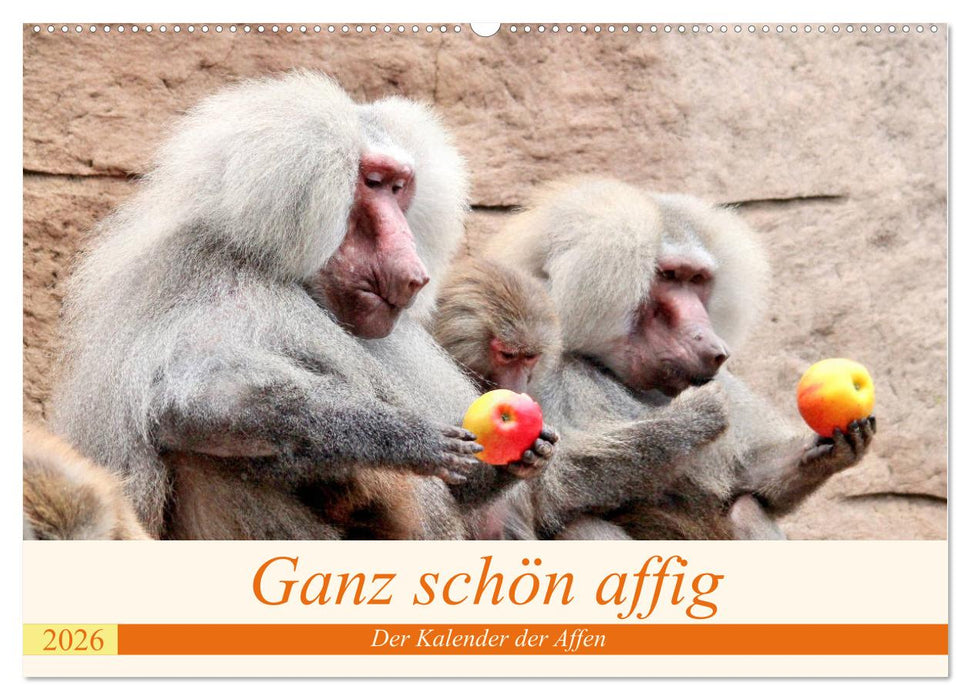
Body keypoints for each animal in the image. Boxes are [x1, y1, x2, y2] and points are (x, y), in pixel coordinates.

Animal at [50, 71, 556, 541]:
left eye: (400, 187)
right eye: (372, 183)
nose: (416, 272)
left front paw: (525, 455)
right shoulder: (225, 285)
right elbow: (193, 396)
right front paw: (407, 438)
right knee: (208, 454)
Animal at [485, 177, 876, 539]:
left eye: (697, 279)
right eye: (669, 276)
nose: (715, 348)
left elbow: (747, 480)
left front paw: (830, 449)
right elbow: (549, 483)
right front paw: (694, 417)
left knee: (747, 509)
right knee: (579, 524)